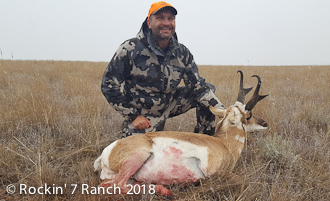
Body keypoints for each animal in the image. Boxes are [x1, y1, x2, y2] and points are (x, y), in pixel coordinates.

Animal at [93, 70, 268, 195]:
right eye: (248, 116)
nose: (265, 124)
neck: (223, 143)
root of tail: (106, 152)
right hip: (139, 155)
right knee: (118, 185)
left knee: (111, 184)